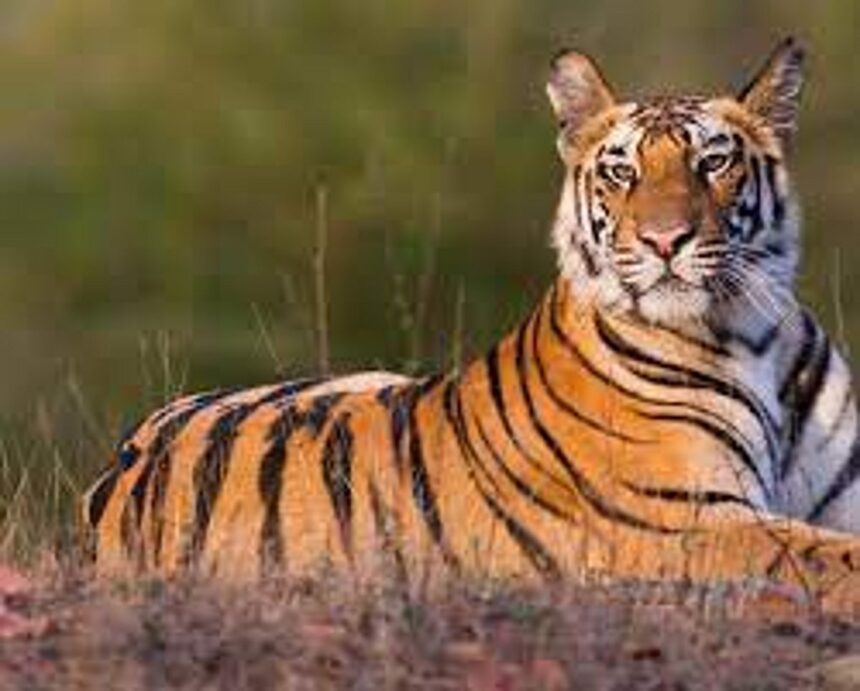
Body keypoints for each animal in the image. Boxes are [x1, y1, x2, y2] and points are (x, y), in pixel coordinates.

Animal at [83, 38, 860, 609]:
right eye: (621, 173)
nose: (664, 241)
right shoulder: (683, 518)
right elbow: (825, 557)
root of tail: (115, 472)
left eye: (713, 162)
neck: (751, 333)